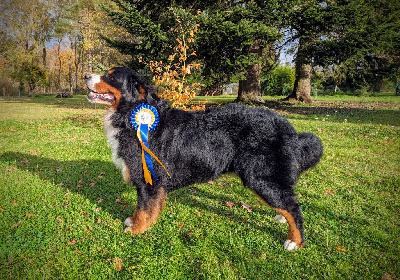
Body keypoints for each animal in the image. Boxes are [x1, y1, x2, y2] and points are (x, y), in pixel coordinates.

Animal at [84, 66, 322, 250]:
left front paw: (136, 229)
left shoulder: (148, 179)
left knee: (294, 208)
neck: (132, 114)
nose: (86, 75)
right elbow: (142, 208)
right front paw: (134, 222)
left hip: (261, 178)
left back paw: (294, 241)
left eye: (110, 76)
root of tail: (286, 126)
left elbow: (144, 208)